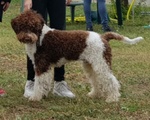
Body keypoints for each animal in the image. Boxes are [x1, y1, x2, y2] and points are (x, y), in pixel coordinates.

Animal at [10, 9, 143, 102]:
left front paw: (35, 97)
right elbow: (44, 82)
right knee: (96, 80)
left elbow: (39, 83)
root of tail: (103, 37)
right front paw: (42, 95)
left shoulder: (41, 65)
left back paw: (112, 98)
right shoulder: (43, 66)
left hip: (101, 64)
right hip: (90, 65)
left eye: (34, 27)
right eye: (23, 26)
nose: (27, 37)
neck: (40, 37)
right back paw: (94, 94)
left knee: (111, 80)